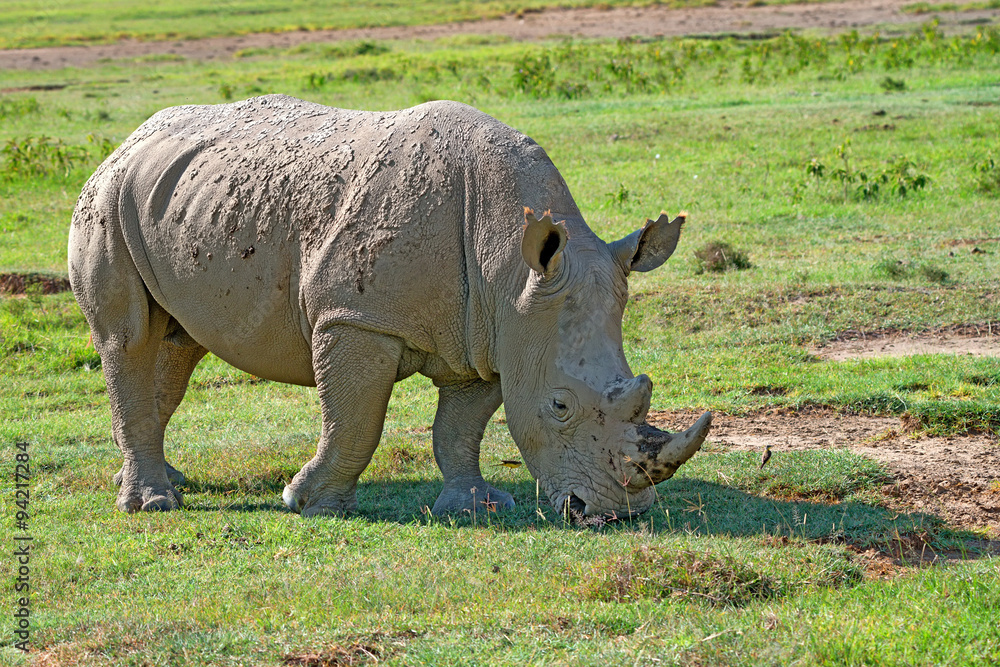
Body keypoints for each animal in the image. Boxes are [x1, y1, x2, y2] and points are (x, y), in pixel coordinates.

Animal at [68, 94, 711, 519]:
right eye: (559, 406)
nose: (618, 514)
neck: (510, 262)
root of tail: (128, 141)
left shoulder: (490, 333)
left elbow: (460, 428)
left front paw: (476, 506)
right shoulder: (356, 320)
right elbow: (356, 420)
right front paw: (310, 503)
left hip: (174, 199)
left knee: (177, 346)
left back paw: (160, 479)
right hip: (105, 199)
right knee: (129, 339)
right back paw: (153, 504)